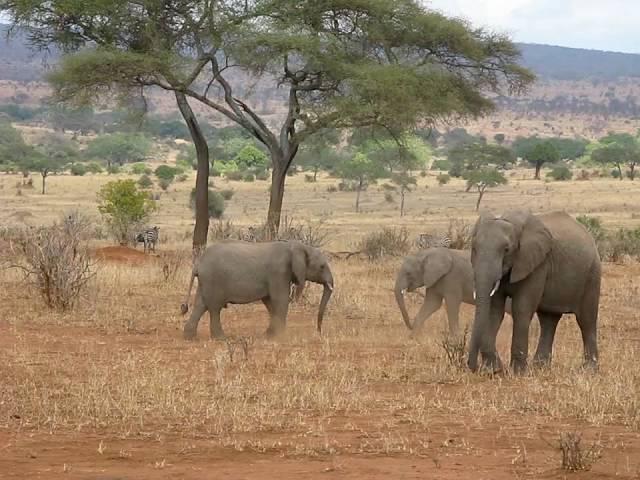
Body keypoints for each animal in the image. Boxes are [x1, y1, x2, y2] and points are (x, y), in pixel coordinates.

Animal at [181, 239, 336, 338]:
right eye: (322, 267)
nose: (319, 332)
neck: (297, 246)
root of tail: (198, 263)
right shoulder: (279, 272)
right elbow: (280, 299)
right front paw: (280, 336)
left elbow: (270, 302)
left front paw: (270, 335)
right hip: (213, 279)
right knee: (214, 308)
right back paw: (221, 338)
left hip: (206, 281)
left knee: (200, 304)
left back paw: (190, 337)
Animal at [470, 211, 600, 376]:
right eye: (474, 248)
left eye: (506, 249)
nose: (472, 367)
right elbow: (495, 312)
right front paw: (492, 371)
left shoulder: (537, 264)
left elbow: (521, 310)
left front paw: (517, 373)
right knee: (548, 321)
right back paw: (541, 367)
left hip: (592, 274)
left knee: (586, 320)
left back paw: (589, 370)